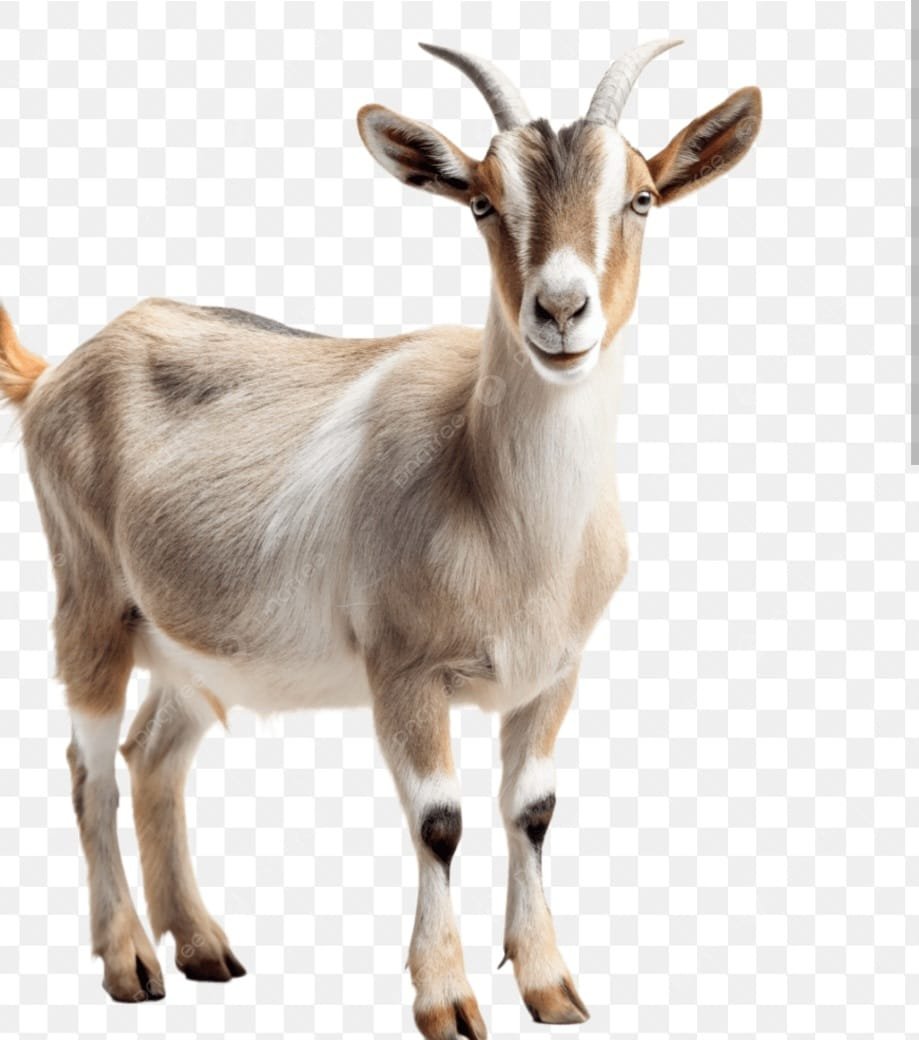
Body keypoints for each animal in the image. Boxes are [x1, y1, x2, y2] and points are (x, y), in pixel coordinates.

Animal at [0, 39, 760, 1038]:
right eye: (481, 200)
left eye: (639, 197)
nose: (560, 311)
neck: (496, 506)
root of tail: (55, 371)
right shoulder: (402, 668)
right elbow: (439, 821)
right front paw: (447, 998)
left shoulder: (554, 673)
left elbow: (533, 810)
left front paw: (549, 985)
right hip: (87, 600)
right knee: (91, 769)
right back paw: (130, 961)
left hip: (192, 645)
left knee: (152, 757)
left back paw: (201, 947)